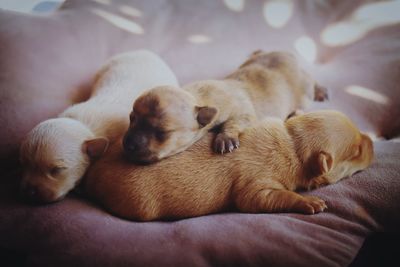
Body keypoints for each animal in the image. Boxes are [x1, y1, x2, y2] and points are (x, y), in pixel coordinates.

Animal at [83, 109, 372, 222]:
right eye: (357, 151)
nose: (372, 141)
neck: (292, 142)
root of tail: (92, 173)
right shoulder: (257, 188)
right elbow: (273, 197)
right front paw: (308, 202)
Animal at [122, 50, 328, 163]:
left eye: (162, 133)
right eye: (131, 118)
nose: (128, 144)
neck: (197, 96)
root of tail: (287, 54)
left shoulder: (243, 113)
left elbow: (235, 122)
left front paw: (225, 139)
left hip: (304, 88)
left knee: (311, 80)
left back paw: (320, 91)